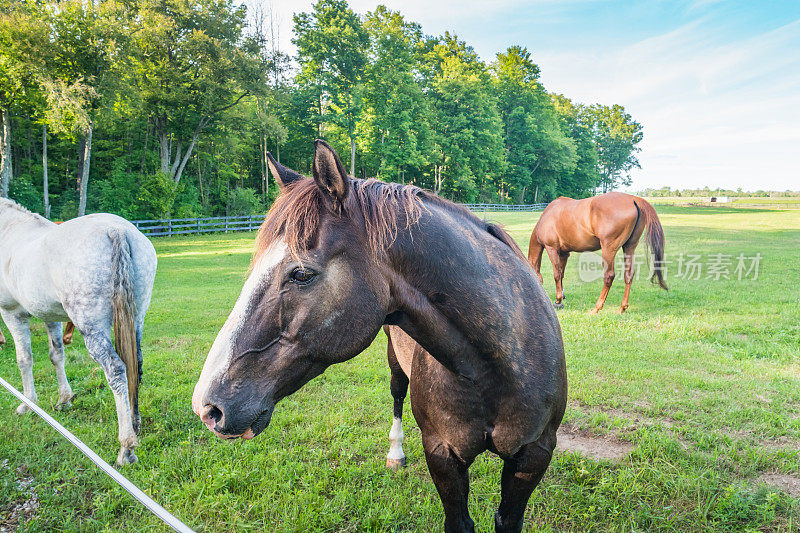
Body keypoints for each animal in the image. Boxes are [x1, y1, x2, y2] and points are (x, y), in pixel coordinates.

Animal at [0, 197, 155, 464]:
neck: (8, 230)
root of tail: (116, 229)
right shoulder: (50, 317)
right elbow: (56, 355)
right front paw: (64, 399)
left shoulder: (12, 314)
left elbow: (24, 360)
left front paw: (28, 403)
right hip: (136, 320)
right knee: (136, 365)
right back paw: (134, 424)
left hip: (92, 327)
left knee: (116, 370)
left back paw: (126, 447)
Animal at [191, 139, 564, 528]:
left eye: (302, 274)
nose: (207, 406)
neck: (495, 367)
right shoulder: (442, 454)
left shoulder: (534, 455)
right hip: (394, 361)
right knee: (397, 395)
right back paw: (395, 454)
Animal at [528, 191, 664, 314]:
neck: (547, 215)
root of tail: (633, 199)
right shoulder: (564, 253)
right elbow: (561, 274)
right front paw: (561, 297)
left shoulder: (551, 248)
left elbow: (556, 274)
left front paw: (558, 300)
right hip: (629, 247)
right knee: (629, 274)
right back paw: (622, 308)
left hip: (608, 249)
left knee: (609, 276)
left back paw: (597, 308)